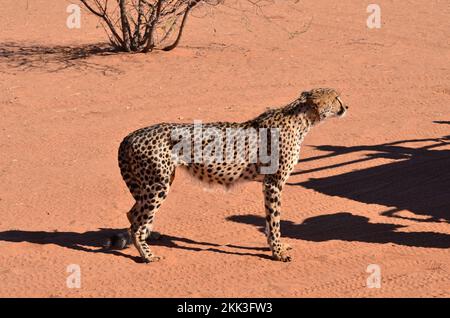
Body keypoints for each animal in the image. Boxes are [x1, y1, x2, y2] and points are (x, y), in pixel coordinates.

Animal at [111, 88, 348, 262]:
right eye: (336, 97)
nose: (346, 106)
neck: (301, 119)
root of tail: (131, 135)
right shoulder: (273, 183)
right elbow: (274, 219)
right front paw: (278, 252)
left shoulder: (268, 184)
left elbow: (269, 220)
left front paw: (276, 246)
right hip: (157, 185)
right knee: (136, 223)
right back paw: (148, 255)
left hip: (158, 181)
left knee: (133, 214)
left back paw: (151, 235)